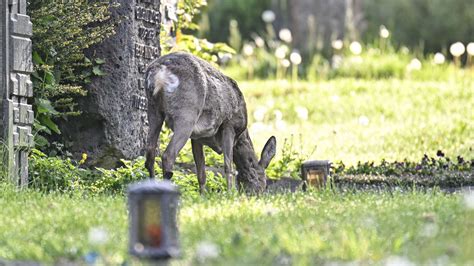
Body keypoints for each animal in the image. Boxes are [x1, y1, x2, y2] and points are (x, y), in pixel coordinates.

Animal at [145, 52, 278, 193]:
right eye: (263, 182)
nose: (258, 194)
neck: (240, 136)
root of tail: (159, 72)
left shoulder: (196, 137)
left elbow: (201, 171)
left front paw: (203, 194)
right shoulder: (229, 125)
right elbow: (228, 165)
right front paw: (230, 193)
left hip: (154, 109)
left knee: (150, 153)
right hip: (187, 113)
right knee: (168, 155)